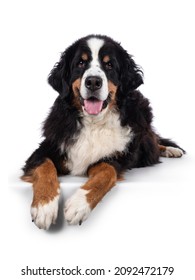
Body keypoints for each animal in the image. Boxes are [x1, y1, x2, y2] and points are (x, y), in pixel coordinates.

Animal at [21, 34, 184, 230]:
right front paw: (44, 206)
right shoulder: (45, 149)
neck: (94, 123)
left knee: (152, 142)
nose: (93, 82)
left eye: (109, 65)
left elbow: (105, 173)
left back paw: (171, 150)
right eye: (81, 63)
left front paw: (78, 204)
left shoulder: (116, 158)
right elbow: (44, 167)